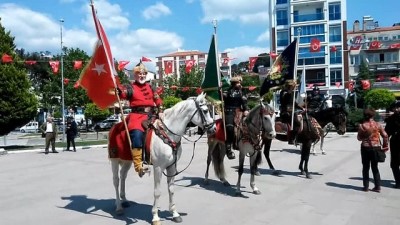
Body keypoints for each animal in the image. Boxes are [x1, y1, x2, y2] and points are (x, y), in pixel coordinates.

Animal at [108, 92, 216, 224]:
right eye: (205, 111)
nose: (214, 128)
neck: (168, 133)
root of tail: (114, 127)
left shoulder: (172, 166)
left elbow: (171, 189)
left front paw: (174, 213)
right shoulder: (158, 168)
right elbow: (157, 192)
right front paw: (155, 216)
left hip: (127, 160)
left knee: (123, 176)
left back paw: (124, 200)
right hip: (114, 159)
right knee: (116, 180)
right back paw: (118, 206)